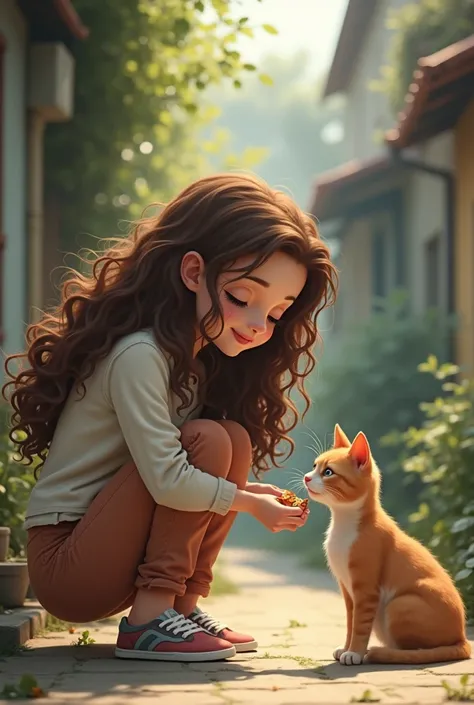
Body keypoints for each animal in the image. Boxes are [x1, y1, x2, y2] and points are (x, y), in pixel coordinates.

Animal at [304, 424, 470, 664]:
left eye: (328, 472)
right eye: (314, 466)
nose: (307, 478)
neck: (344, 525)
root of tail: (463, 638)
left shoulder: (366, 590)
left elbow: (360, 625)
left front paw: (354, 652)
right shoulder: (347, 591)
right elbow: (350, 622)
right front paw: (346, 648)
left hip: (400, 605)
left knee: (419, 650)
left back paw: (383, 653)